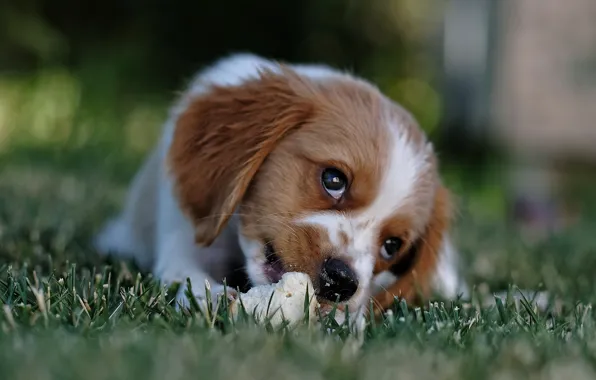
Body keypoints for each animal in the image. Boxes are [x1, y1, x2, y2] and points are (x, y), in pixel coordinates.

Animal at [94, 52, 470, 320]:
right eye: (333, 179)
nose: (342, 281)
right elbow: (186, 274)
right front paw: (213, 297)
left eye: (392, 246)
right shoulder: (183, 237)